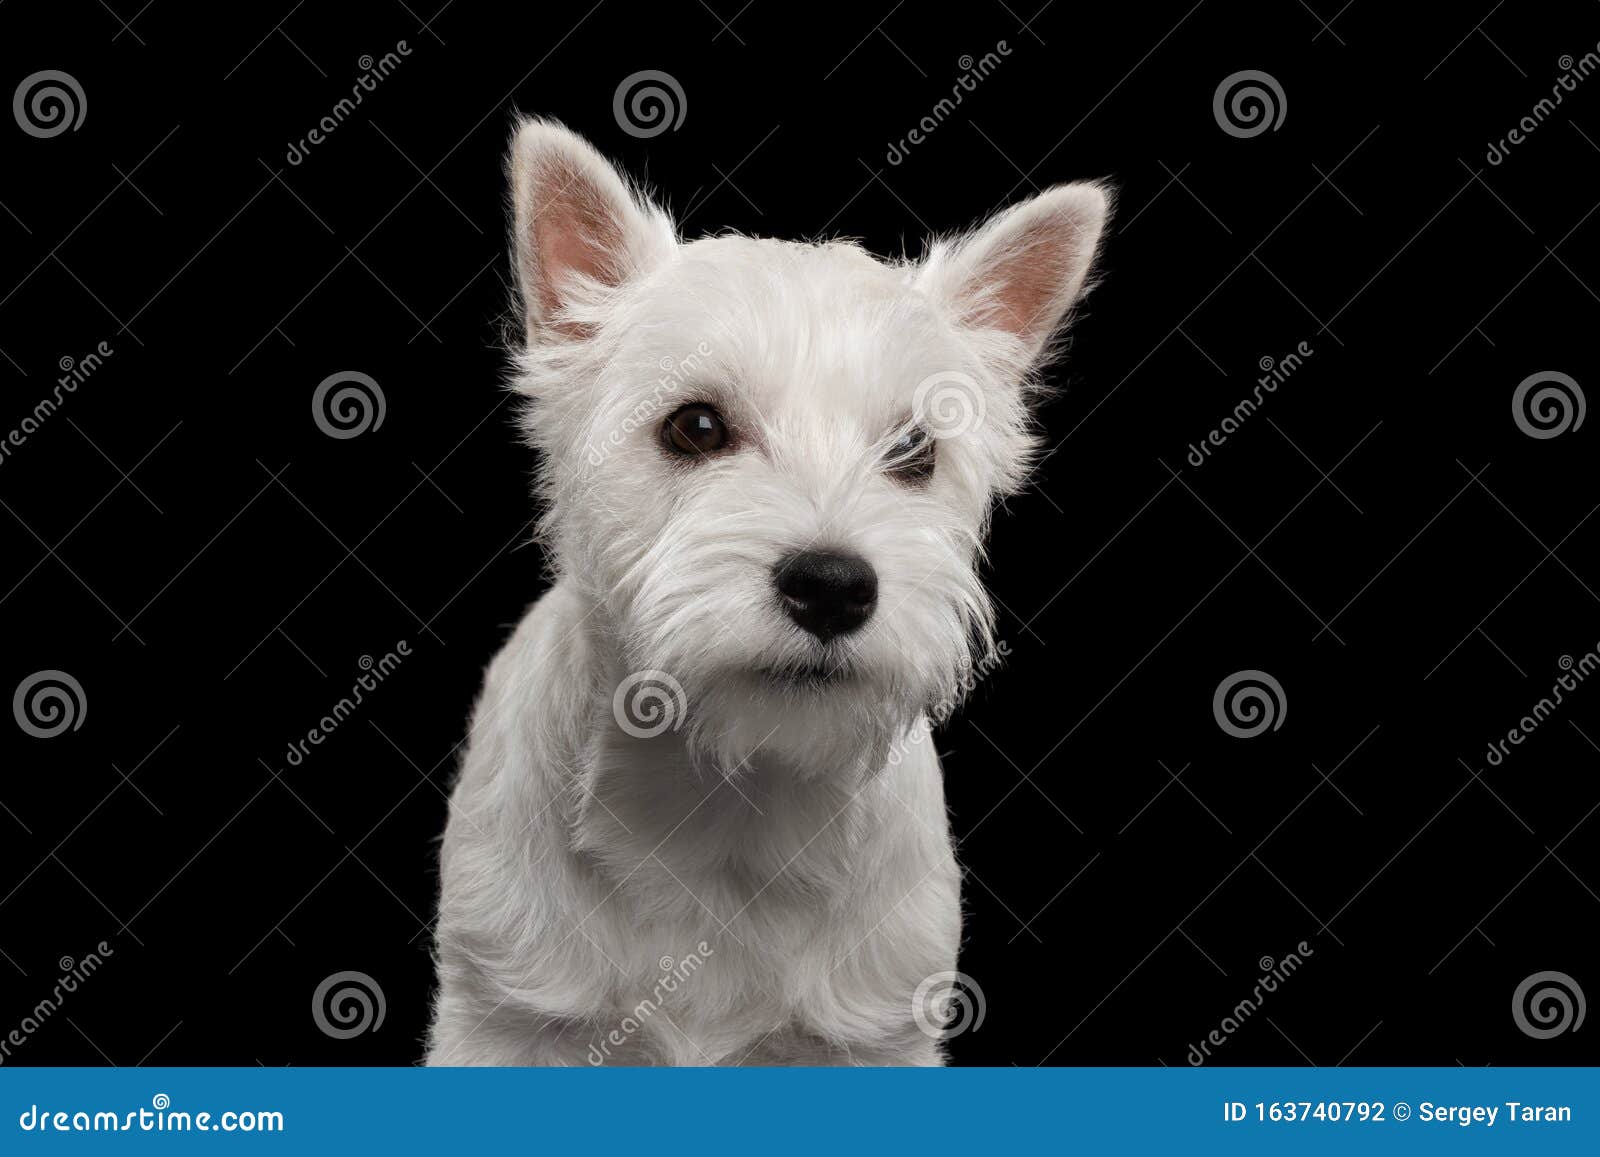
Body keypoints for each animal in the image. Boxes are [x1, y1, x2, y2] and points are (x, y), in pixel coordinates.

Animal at [425, 117, 1107, 1068]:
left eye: (913, 450)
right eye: (696, 426)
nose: (832, 587)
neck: (730, 807)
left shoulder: (875, 1034)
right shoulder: (504, 1021)